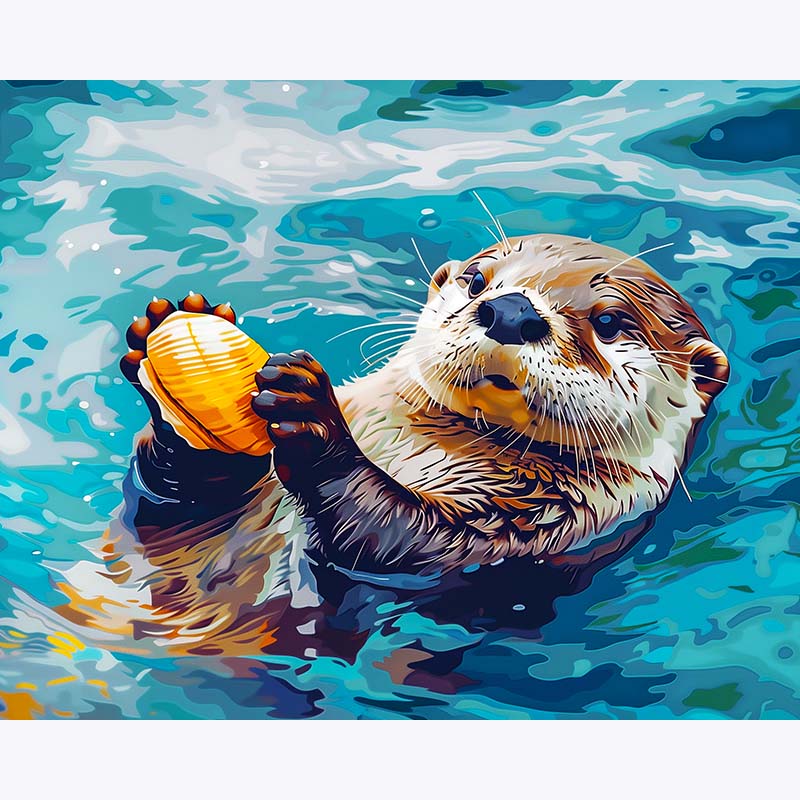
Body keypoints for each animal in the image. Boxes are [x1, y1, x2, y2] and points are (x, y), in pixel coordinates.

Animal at [57, 233, 728, 655]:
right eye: (478, 280)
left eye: (610, 322)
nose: (511, 310)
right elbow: (174, 508)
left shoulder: (541, 526)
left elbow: (390, 537)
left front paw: (315, 422)